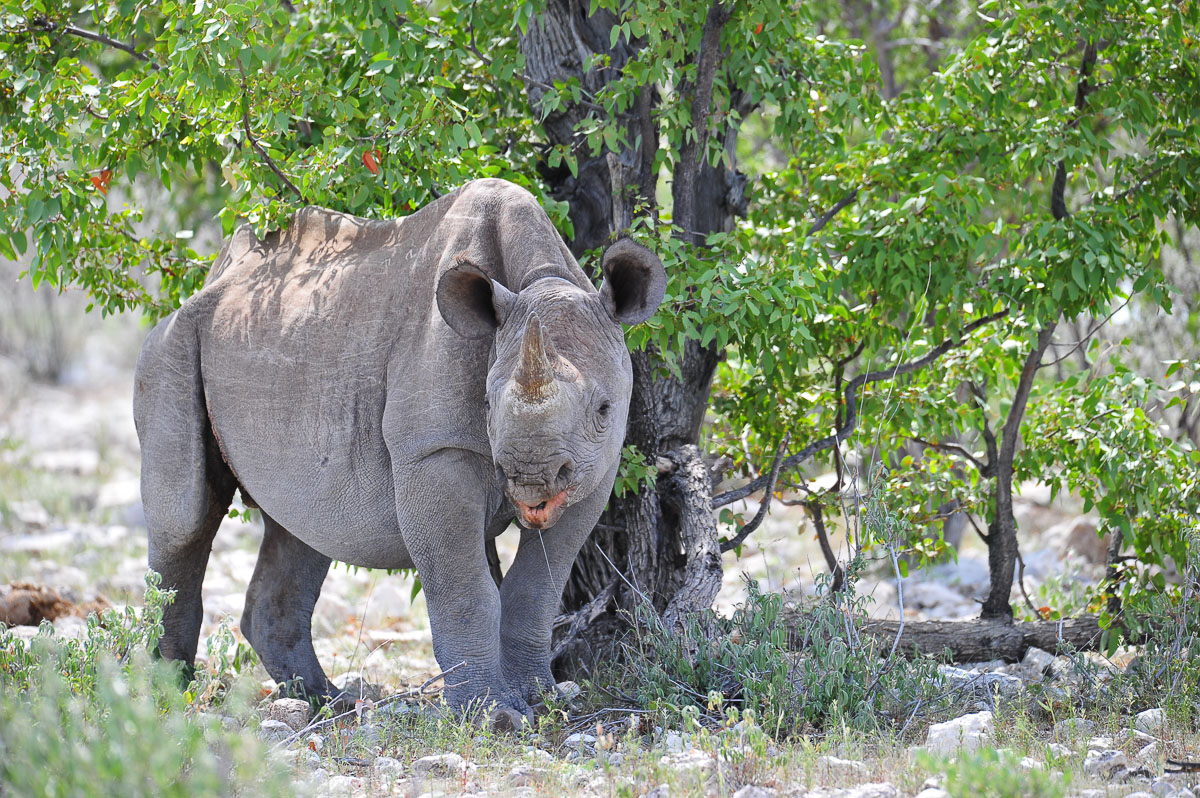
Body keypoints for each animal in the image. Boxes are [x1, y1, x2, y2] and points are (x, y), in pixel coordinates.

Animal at [134, 178, 666, 724]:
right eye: (487, 405)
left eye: (604, 408)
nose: (531, 477)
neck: (545, 279)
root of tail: (212, 279)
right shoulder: (431, 451)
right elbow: (466, 589)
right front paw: (492, 717)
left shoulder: (594, 469)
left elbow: (538, 585)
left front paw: (540, 699)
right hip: (172, 344)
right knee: (187, 518)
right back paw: (168, 698)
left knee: (304, 528)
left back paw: (330, 703)